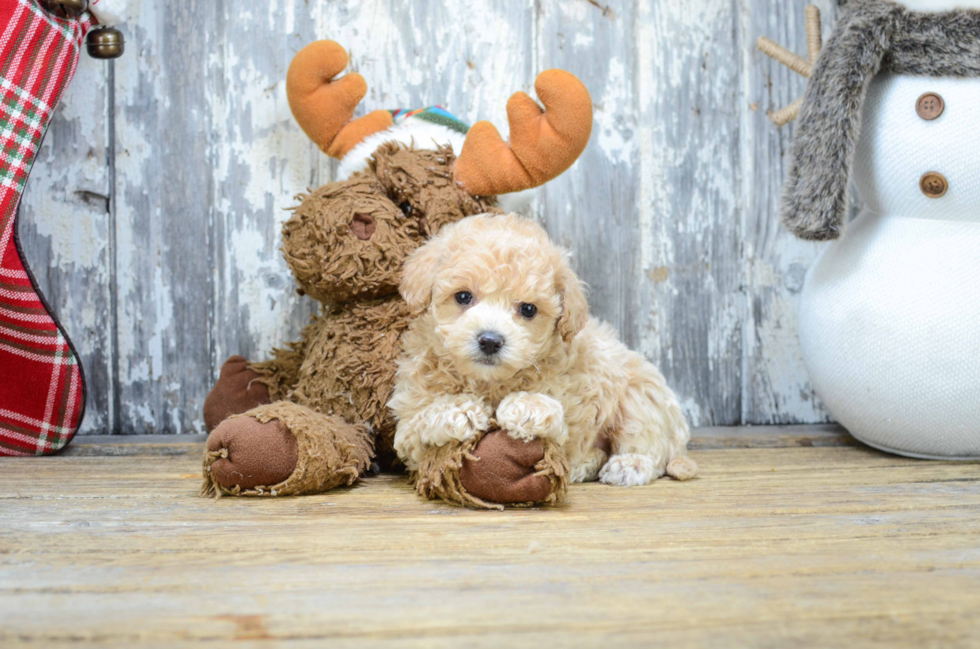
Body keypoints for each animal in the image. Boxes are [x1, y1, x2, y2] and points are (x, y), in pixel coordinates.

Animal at [388, 213, 696, 486]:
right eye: (463, 296)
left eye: (528, 309)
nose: (490, 341)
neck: (489, 383)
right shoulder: (409, 435)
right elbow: (418, 425)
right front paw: (458, 409)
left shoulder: (572, 409)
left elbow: (558, 429)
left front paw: (526, 406)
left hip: (640, 393)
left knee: (648, 444)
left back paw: (629, 464)